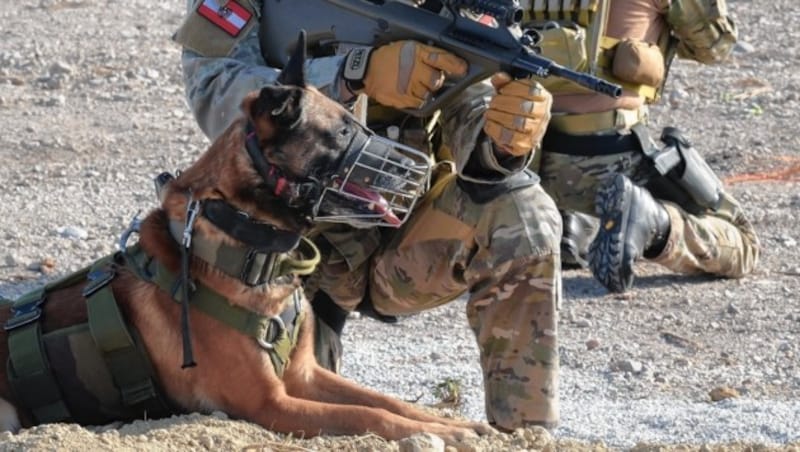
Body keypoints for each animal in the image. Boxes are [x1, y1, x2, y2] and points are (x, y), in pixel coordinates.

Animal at [0, 33, 494, 444]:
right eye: (341, 133)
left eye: (359, 124)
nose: (421, 171)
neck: (249, 248)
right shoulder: (272, 404)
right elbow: (368, 415)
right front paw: (444, 434)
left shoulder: (306, 376)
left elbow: (385, 400)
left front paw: (455, 424)